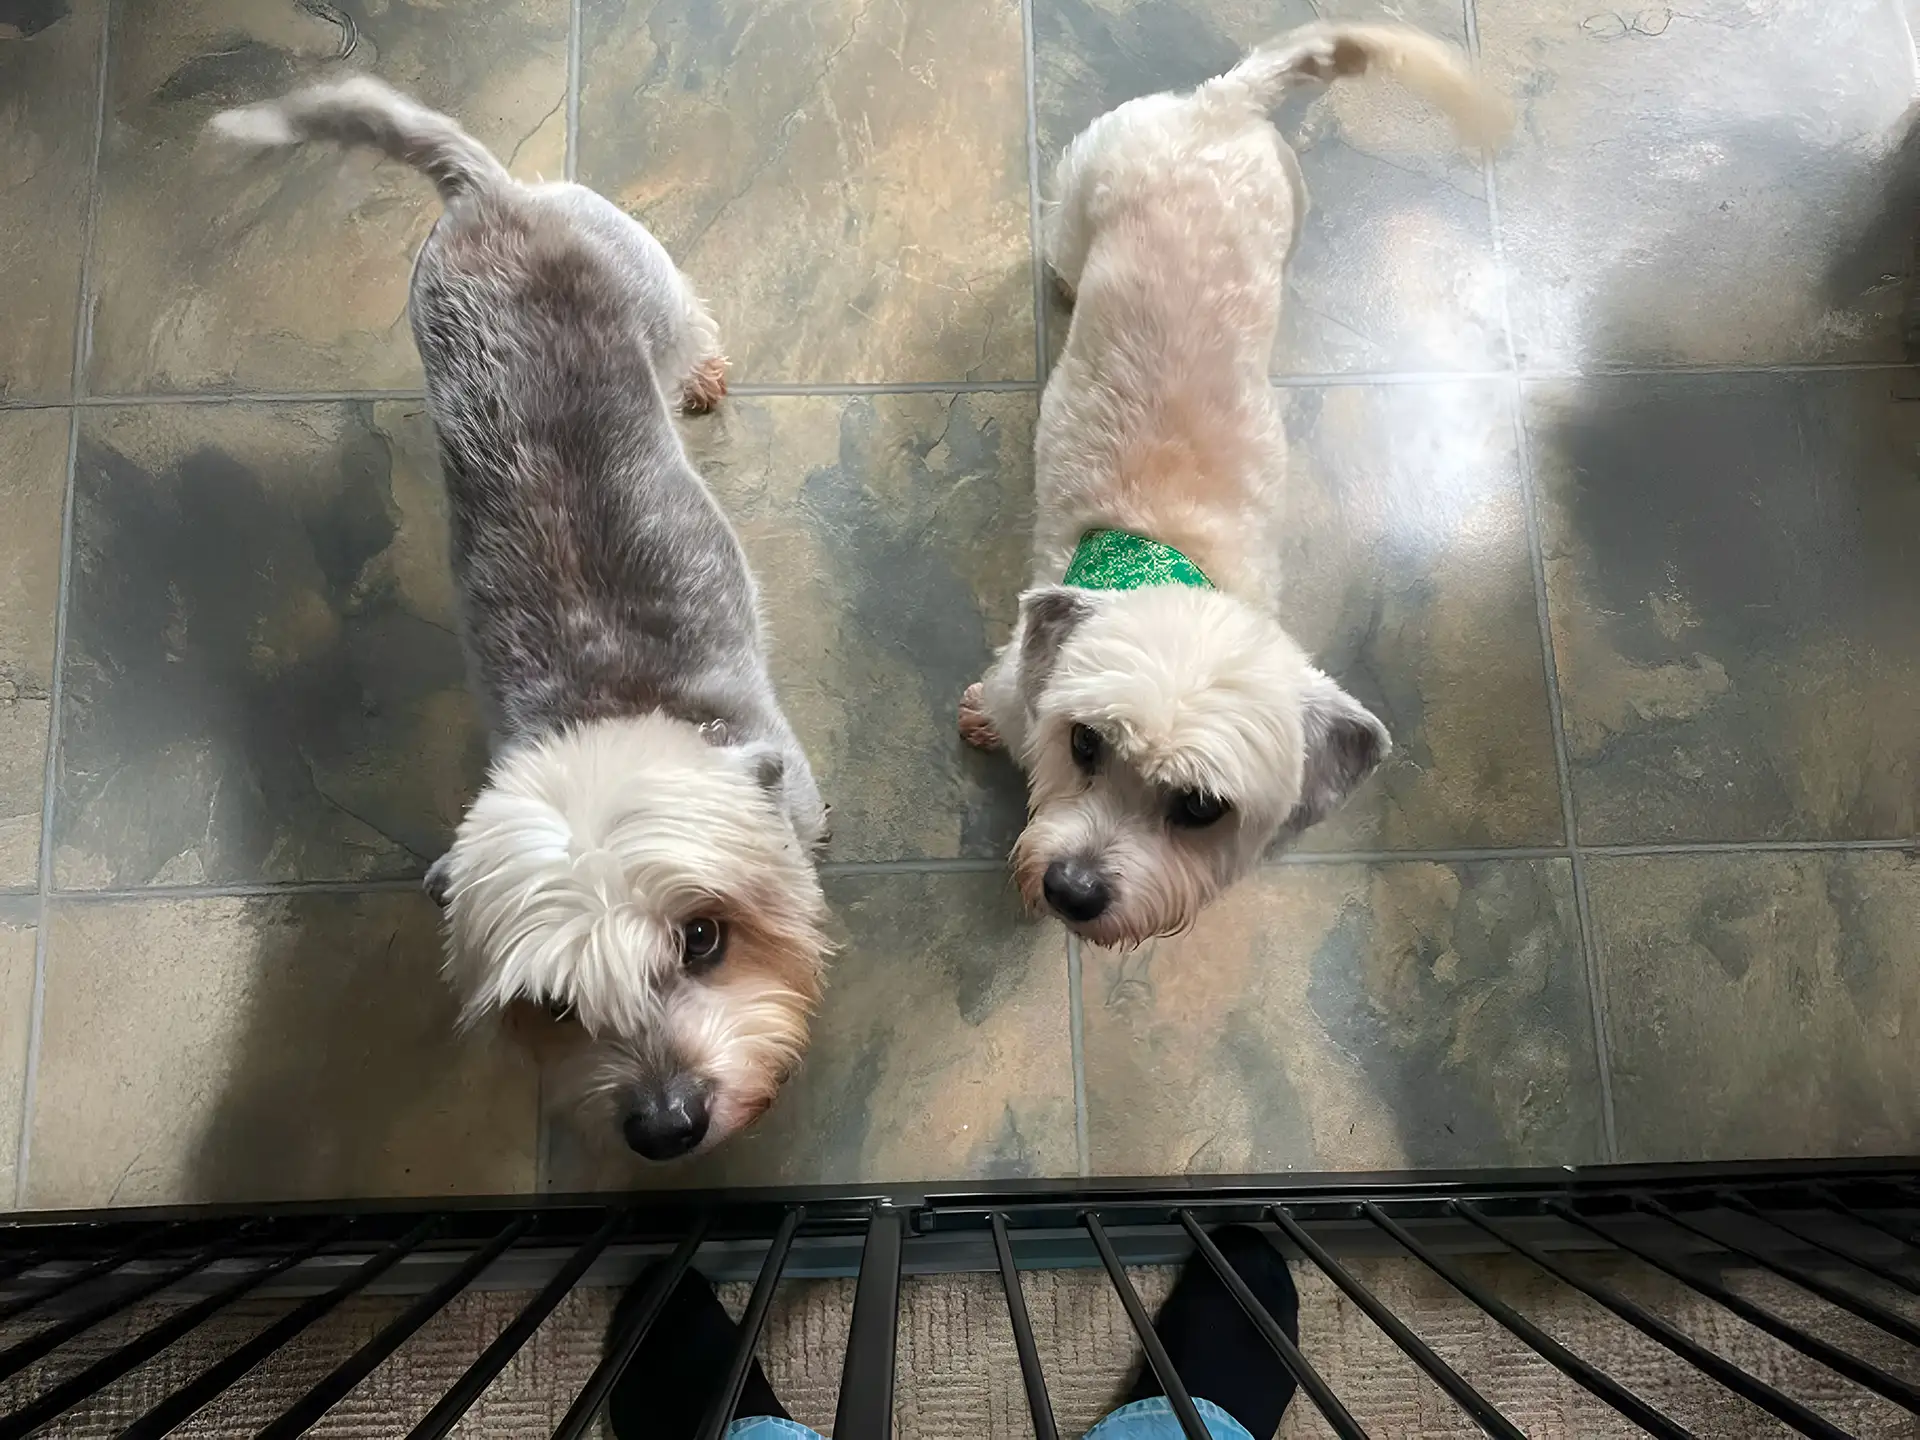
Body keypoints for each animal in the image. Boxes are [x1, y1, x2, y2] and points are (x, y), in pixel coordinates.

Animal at [210, 78, 833, 1159]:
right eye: (554, 1004)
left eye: (701, 936)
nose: (664, 1124)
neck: (608, 717)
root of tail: (485, 196)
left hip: (638, 268)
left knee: (683, 322)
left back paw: (700, 375)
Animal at [967, 25, 1505, 948]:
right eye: (1085, 743)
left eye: (1198, 807)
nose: (1073, 890)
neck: (1174, 558)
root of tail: (1224, 107)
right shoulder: (1019, 680)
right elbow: (1001, 705)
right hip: (1086, 190)